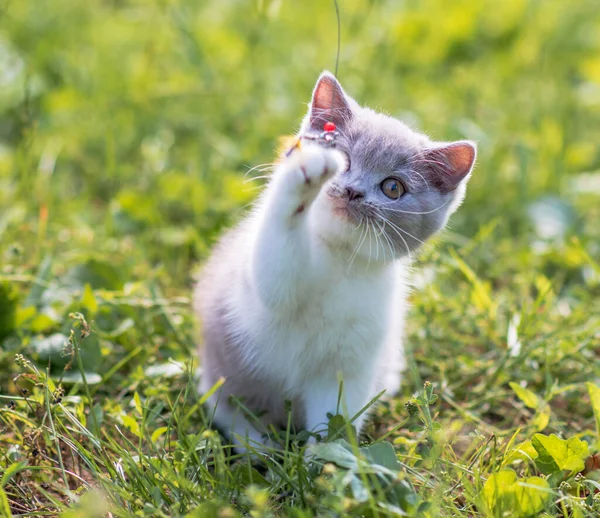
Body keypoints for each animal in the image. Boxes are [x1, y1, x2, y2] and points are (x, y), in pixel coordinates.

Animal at [195, 72, 476, 450]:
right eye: (343, 158)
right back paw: (257, 446)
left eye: (392, 188)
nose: (353, 191)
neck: (340, 258)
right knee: (226, 406)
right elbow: (277, 263)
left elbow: (335, 414)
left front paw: (324, 458)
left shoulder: (351, 362)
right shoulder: (266, 283)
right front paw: (302, 174)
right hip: (224, 364)